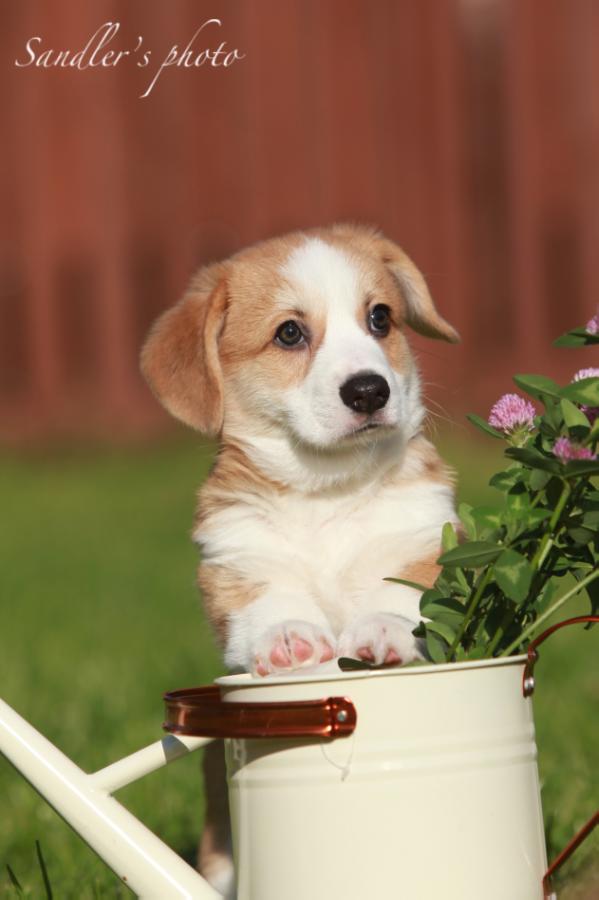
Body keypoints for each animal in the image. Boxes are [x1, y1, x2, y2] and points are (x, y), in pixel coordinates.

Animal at [141, 221, 460, 888]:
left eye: (380, 318)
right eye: (290, 332)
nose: (369, 389)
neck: (326, 491)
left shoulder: (423, 543)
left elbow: (399, 597)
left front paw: (380, 633)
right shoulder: (238, 566)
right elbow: (273, 602)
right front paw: (291, 639)